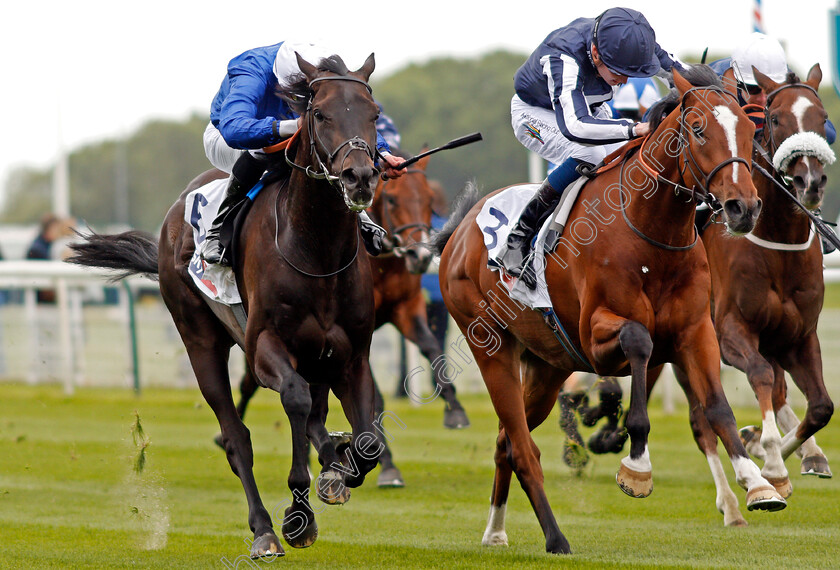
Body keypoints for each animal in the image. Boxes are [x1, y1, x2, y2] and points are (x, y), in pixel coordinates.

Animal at [434, 65, 788, 552]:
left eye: (751, 130)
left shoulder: (695, 332)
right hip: (492, 350)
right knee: (522, 447)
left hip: (548, 366)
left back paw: (495, 531)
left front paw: (758, 483)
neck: (649, 233)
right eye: (698, 130)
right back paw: (556, 538)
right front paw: (637, 465)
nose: (744, 207)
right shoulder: (596, 337)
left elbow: (718, 409)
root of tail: (461, 229)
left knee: (507, 439)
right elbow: (639, 342)